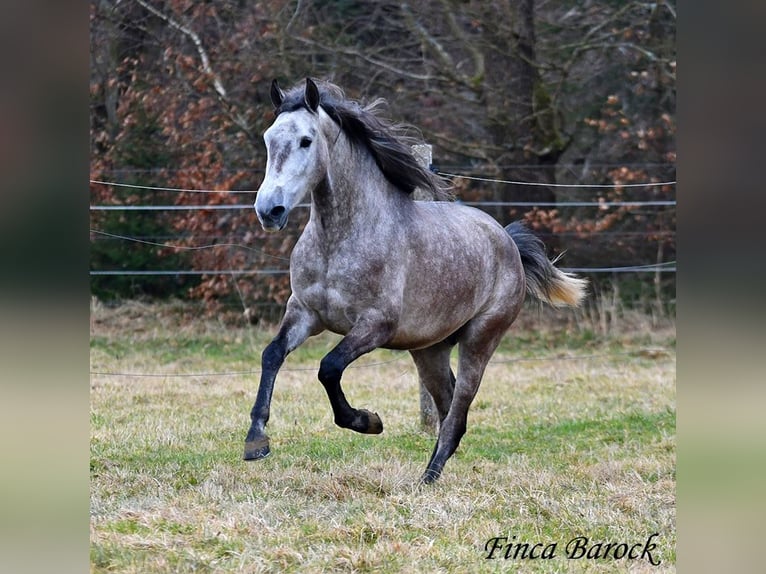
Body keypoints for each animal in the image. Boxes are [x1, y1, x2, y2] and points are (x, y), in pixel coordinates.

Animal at [248, 80, 588, 486]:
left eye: (305, 140)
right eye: (269, 138)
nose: (269, 210)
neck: (341, 238)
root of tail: (505, 239)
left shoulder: (375, 325)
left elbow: (329, 368)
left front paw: (368, 421)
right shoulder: (304, 313)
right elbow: (271, 354)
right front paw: (256, 441)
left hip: (480, 341)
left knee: (457, 412)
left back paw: (427, 479)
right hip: (430, 350)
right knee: (448, 406)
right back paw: (431, 473)